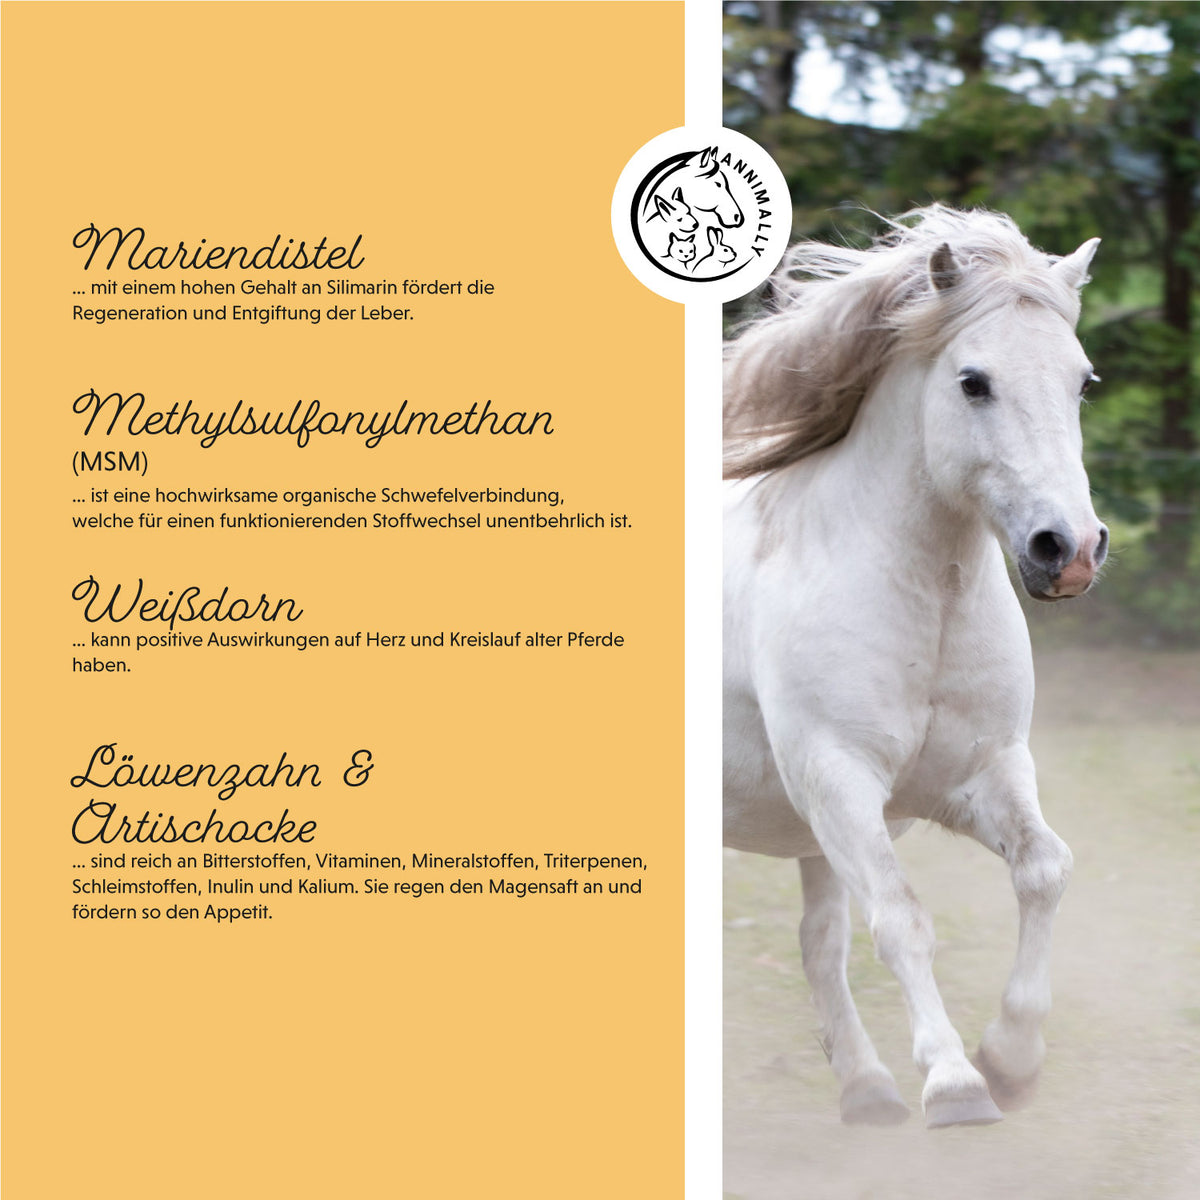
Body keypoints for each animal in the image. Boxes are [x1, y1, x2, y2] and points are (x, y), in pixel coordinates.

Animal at [723, 206, 1107, 1130]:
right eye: (973, 381)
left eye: (1082, 382)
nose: (1070, 550)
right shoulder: (840, 780)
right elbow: (900, 920)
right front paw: (956, 1082)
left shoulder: (978, 774)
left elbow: (1045, 870)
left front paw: (1011, 1058)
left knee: (820, 944)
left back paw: (866, 1089)